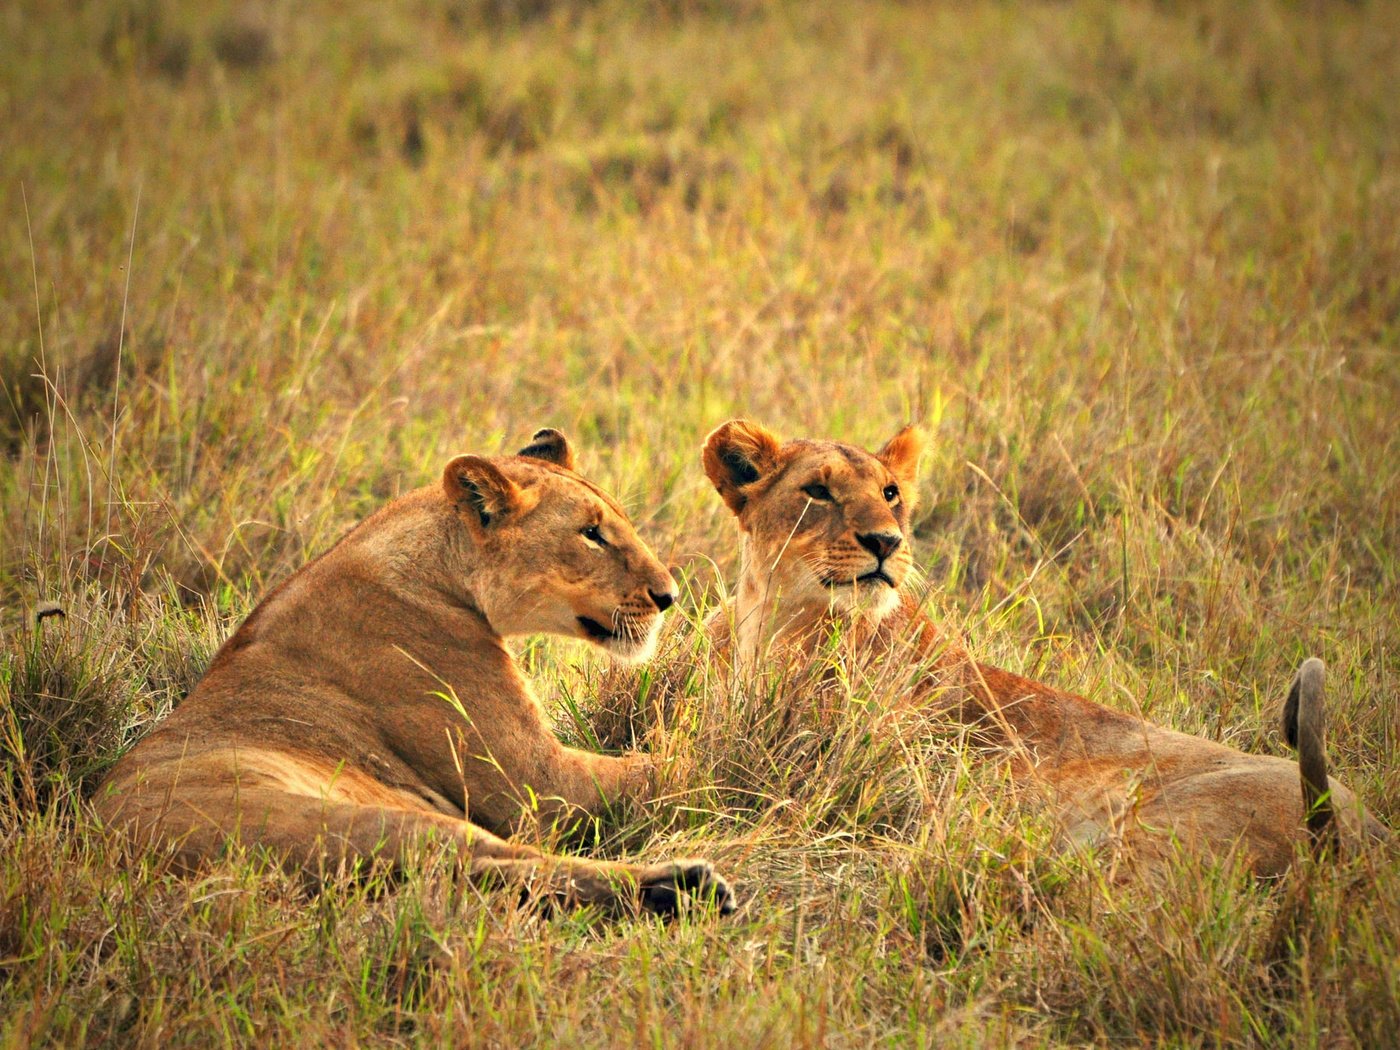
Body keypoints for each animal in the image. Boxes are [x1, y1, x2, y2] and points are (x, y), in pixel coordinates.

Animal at [97, 431, 733, 918]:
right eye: (591, 533)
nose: (670, 597)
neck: (440, 567)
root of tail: (108, 854)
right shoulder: (540, 783)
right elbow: (669, 769)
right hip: (366, 822)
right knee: (493, 863)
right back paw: (683, 887)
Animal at [705, 420, 1383, 879]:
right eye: (817, 491)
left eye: (891, 493)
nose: (885, 542)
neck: (776, 622)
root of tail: (1361, 835)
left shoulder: (829, 777)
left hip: (1150, 838)